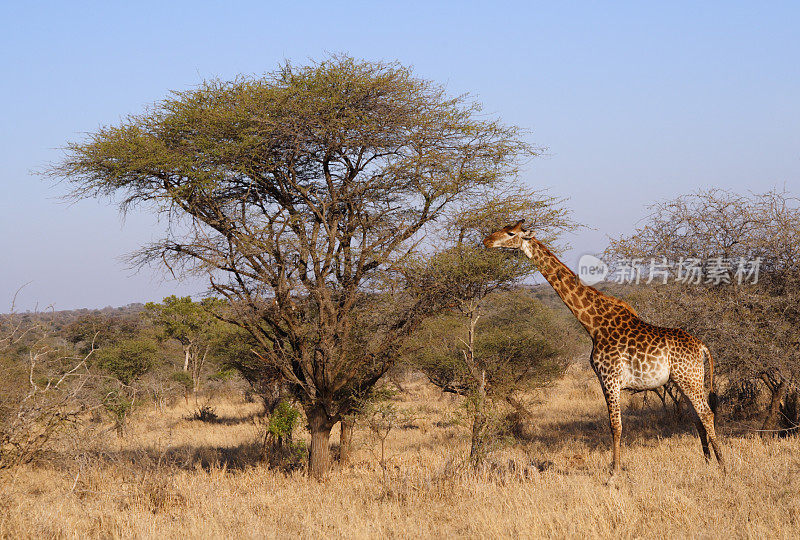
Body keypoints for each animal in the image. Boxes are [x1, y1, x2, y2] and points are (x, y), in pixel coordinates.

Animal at [482, 219, 724, 476]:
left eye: (510, 233)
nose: (486, 241)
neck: (594, 325)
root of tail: (702, 346)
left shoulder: (610, 378)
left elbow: (615, 425)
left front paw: (614, 471)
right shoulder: (603, 379)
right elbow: (615, 425)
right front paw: (615, 468)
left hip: (689, 378)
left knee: (706, 413)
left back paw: (722, 463)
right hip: (683, 380)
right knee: (697, 417)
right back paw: (707, 461)